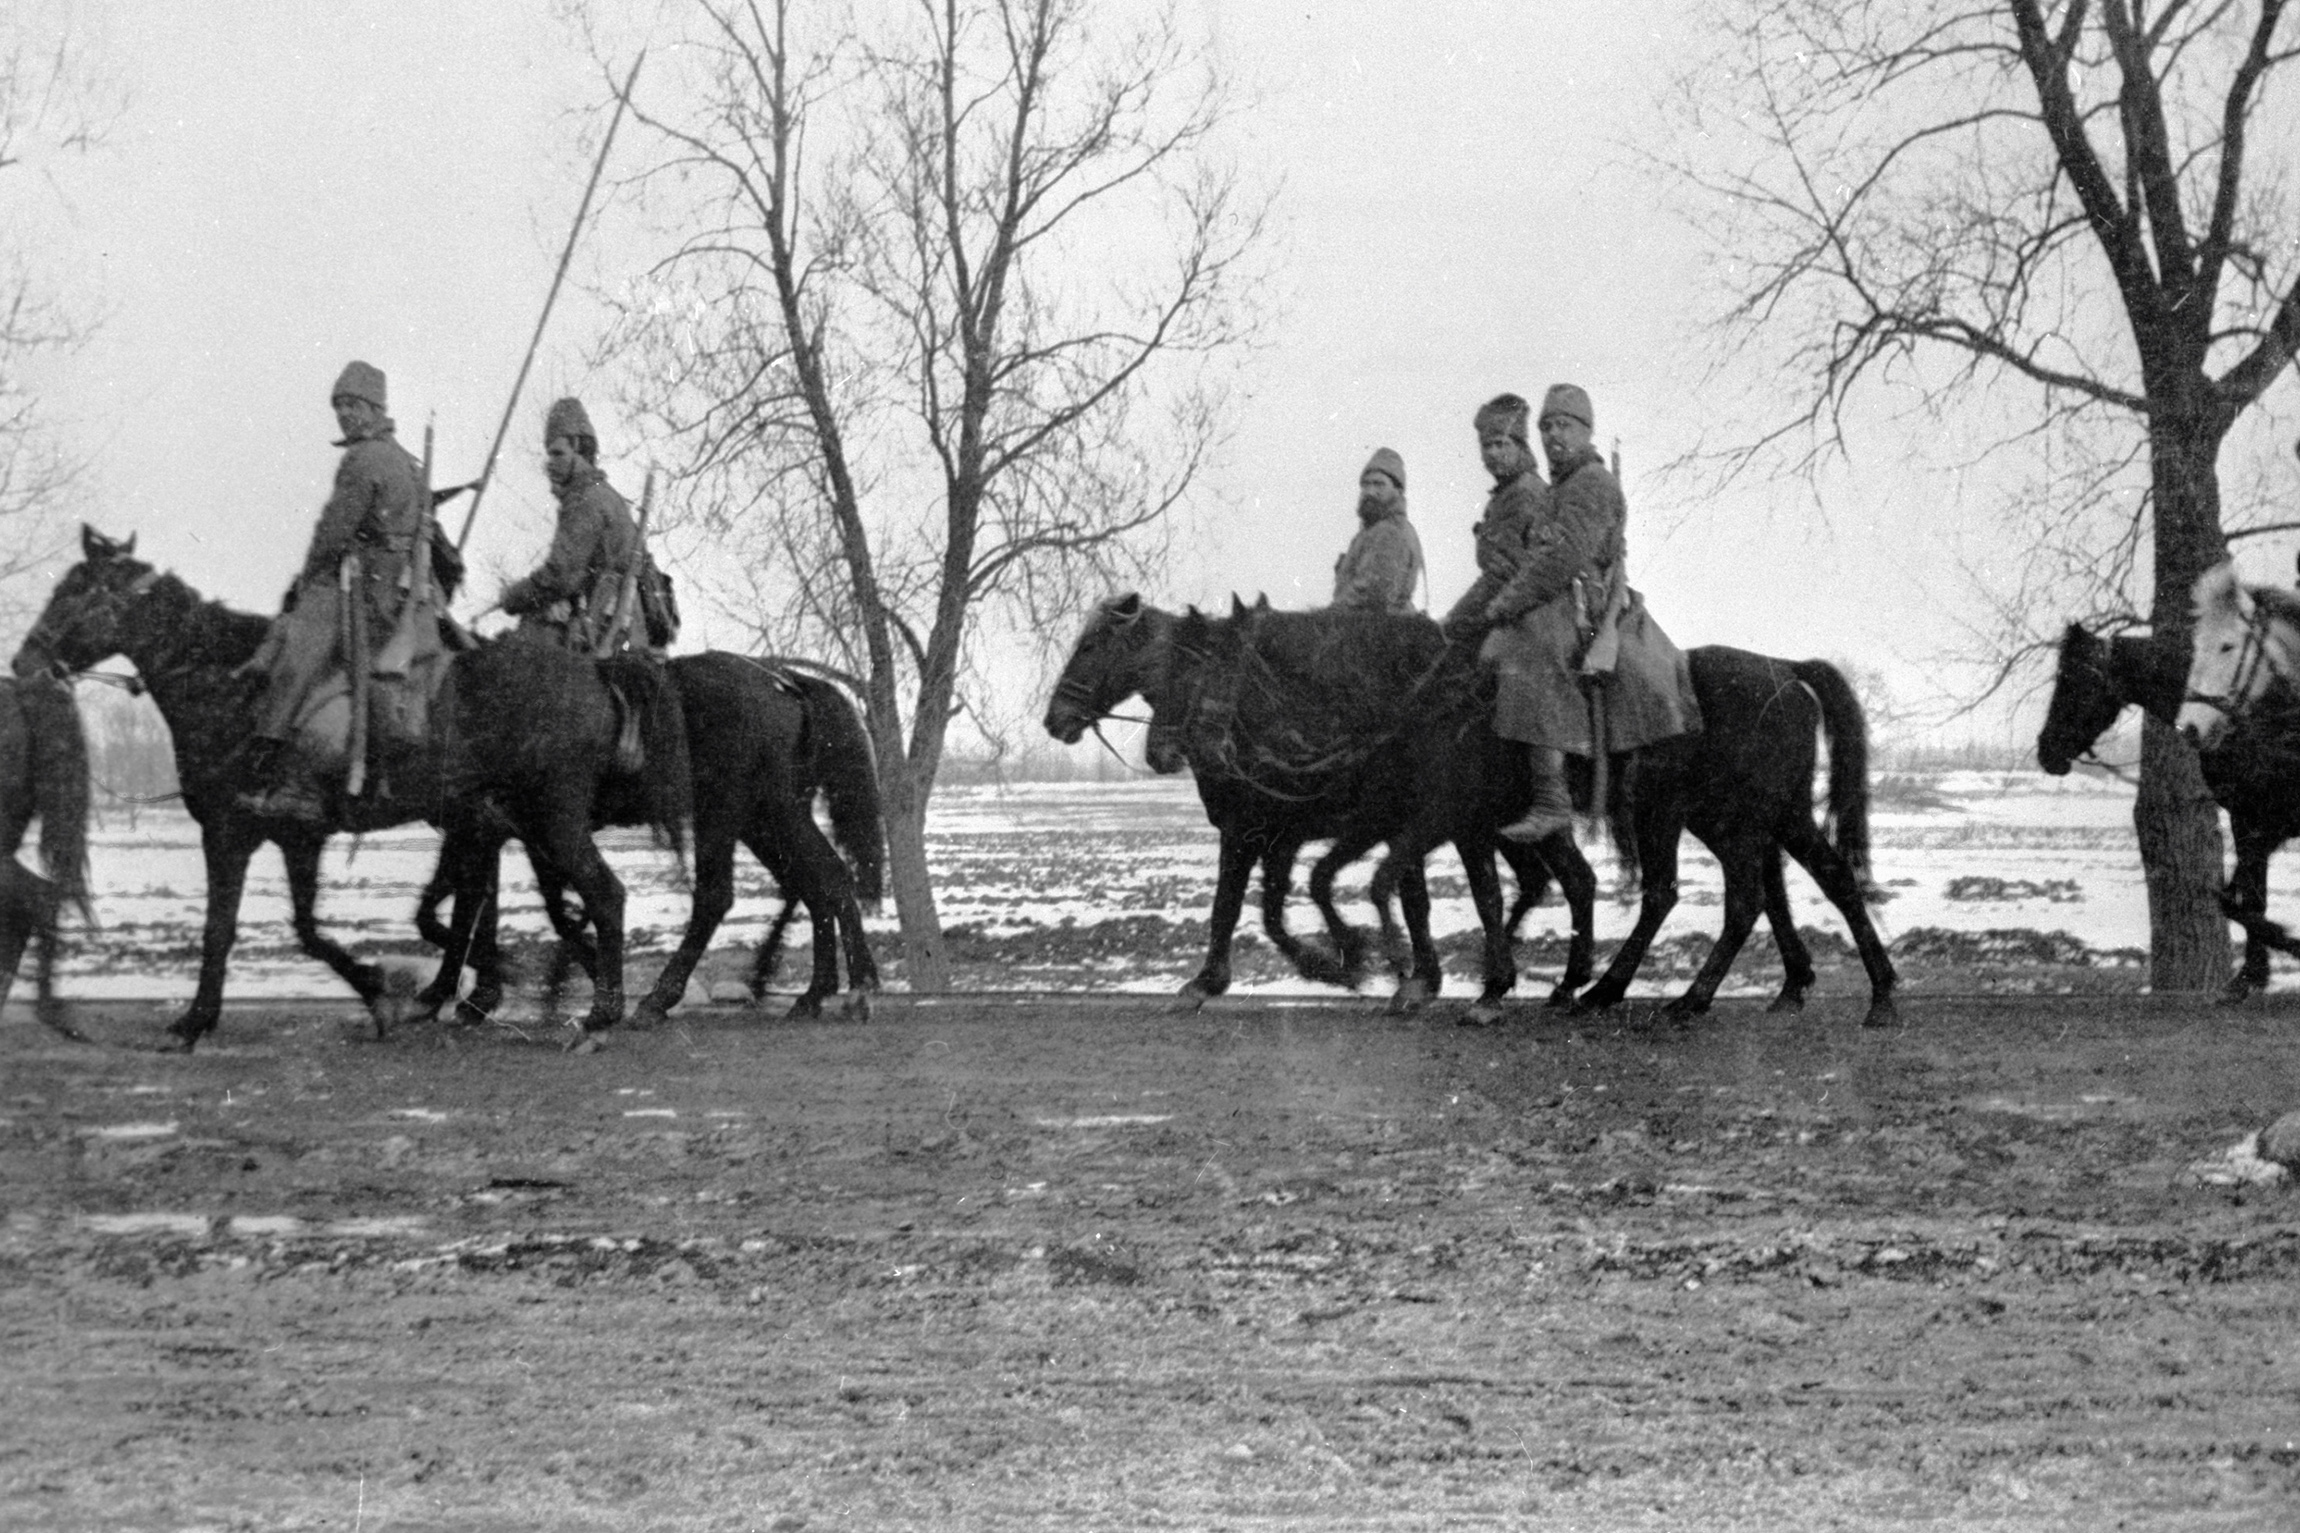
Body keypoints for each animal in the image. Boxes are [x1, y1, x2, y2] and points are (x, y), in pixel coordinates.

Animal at [15, 521, 680, 1048]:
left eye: (75, 591)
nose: (24, 662)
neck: (228, 682)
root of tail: (595, 671)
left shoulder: (231, 833)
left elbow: (221, 928)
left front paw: (195, 1020)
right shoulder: (295, 837)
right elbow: (307, 930)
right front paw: (381, 990)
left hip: (553, 819)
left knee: (605, 894)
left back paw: (603, 1011)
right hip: (514, 822)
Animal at [1048, 592, 1600, 1011]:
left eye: (1091, 645)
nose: (1055, 720)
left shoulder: (1295, 828)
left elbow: (1249, 902)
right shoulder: (1285, 833)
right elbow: (1273, 907)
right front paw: (1347, 963)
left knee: (1539, 882)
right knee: (1570, 880)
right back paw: (1561, 978)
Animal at [2033, 615, 2300, 1002]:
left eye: (2072, 681)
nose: (2046, 750)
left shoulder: (2261, 822)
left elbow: (2241, 901)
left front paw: (2281, 948)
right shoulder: (2250, 824)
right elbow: (2242, 900)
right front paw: (2251, 975)